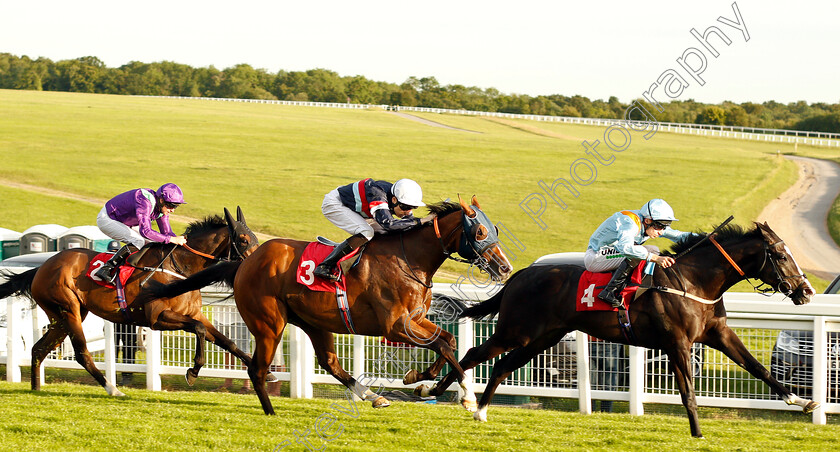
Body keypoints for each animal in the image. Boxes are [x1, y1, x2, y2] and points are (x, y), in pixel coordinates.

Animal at [0, 207, 260, 394]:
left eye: (255, 238)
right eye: (243, 240)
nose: (253, 265)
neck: (179, 267)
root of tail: (41, 267)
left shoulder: (193, 314)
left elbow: (227, 342)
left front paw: (261, 371)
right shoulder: (157, 318)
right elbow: (199, 330)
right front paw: (193, 371)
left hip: (62, 316)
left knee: (38, 349)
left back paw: (36, 389)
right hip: (68, 310)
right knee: (82, 353)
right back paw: (112, 389)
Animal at [138, 196, 512, 414]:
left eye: (493, 228)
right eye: (480, 232)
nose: (505, 268)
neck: (410, 258)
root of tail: (243, 264)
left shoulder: (415, 319)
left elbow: (448, 341)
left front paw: (422, 380)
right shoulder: (395, 326)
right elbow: (443, 344)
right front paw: (466, 397)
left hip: (313, 322)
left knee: (330, 363)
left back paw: (374, 396)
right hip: (269, 323)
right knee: (257, 369)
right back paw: (271, 412)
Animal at [424, 222, 816, 438]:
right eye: (781, 255)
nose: (806, 291)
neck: (694, 281)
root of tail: (520, 274)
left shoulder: (716, 335)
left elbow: (758, 367)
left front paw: (801, 400)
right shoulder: (678, 342)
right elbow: (689, 393)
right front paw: (698, 432)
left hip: (543, 337)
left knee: (503, 364)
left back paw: (479, 409)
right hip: (518, 330)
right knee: (474, 352)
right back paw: (442, 389)